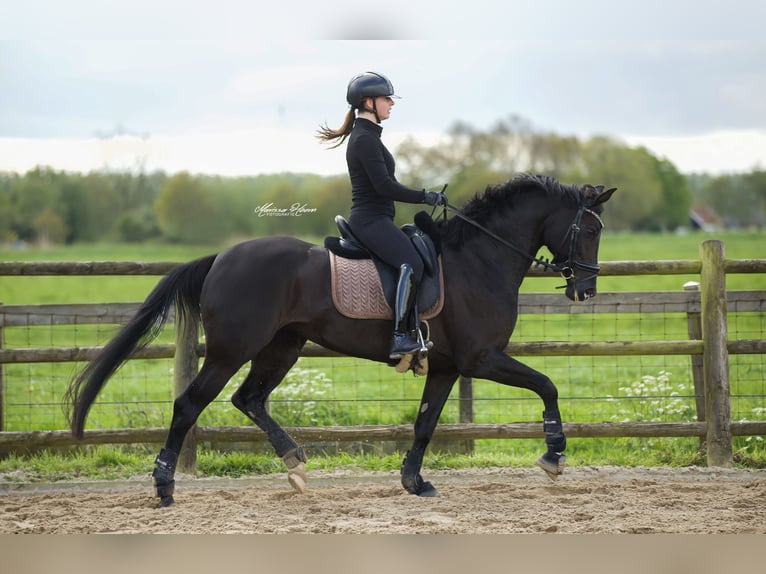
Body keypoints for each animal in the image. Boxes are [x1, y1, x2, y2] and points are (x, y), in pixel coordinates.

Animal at [65, 173, 615, 507]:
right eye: (590, 230)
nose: (585, 291)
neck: (480, 258)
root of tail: (221, 257)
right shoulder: (481, 358)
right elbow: (547, 385)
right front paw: (553, 456)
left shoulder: (445, 367)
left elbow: (425, 425)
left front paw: (414, 482)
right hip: (231, 351)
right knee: (189, 406)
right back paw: (164, 486)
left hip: (281, 348)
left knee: (249, 399)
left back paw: (295, 463)